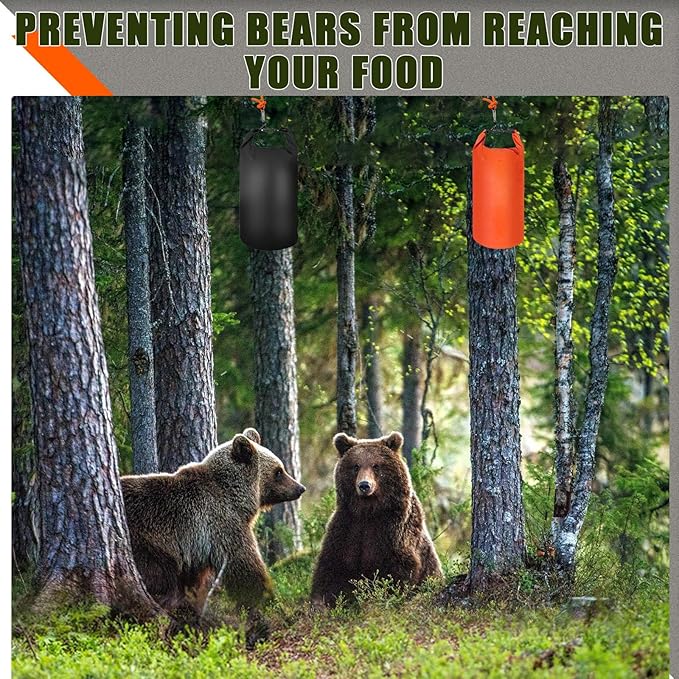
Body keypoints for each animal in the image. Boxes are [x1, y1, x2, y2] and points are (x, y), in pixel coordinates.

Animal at [121, 427, 305, 618]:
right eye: (279, 471)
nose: (300, 488)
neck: (237, 497)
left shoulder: (196, 548)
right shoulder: (222, 523)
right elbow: (244, 565)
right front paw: (270, 602)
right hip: (148, 543)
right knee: (158, 575)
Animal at [311, 431, 442, 605]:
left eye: (376, 465)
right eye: (356, 466)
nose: (364, 485)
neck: (368, 511)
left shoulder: (393, 531)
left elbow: (396, 573)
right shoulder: (347, 527)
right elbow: (331, 569)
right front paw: (321, 602)